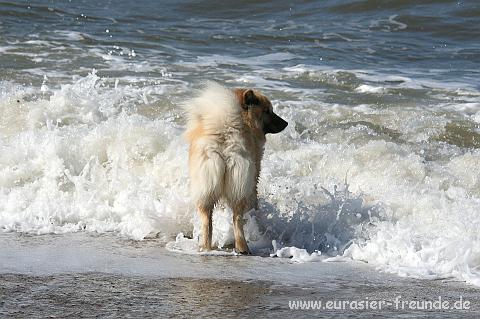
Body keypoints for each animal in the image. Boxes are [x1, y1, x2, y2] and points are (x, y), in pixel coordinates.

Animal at [185, 83, 288, 255]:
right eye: (268, 111)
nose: (286, 123)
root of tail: (224, 136)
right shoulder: (253, 179)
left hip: (206, 186)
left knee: (207, 221)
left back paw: (206, 246)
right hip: (241, 186)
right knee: (237, 219)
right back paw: (242, 247)